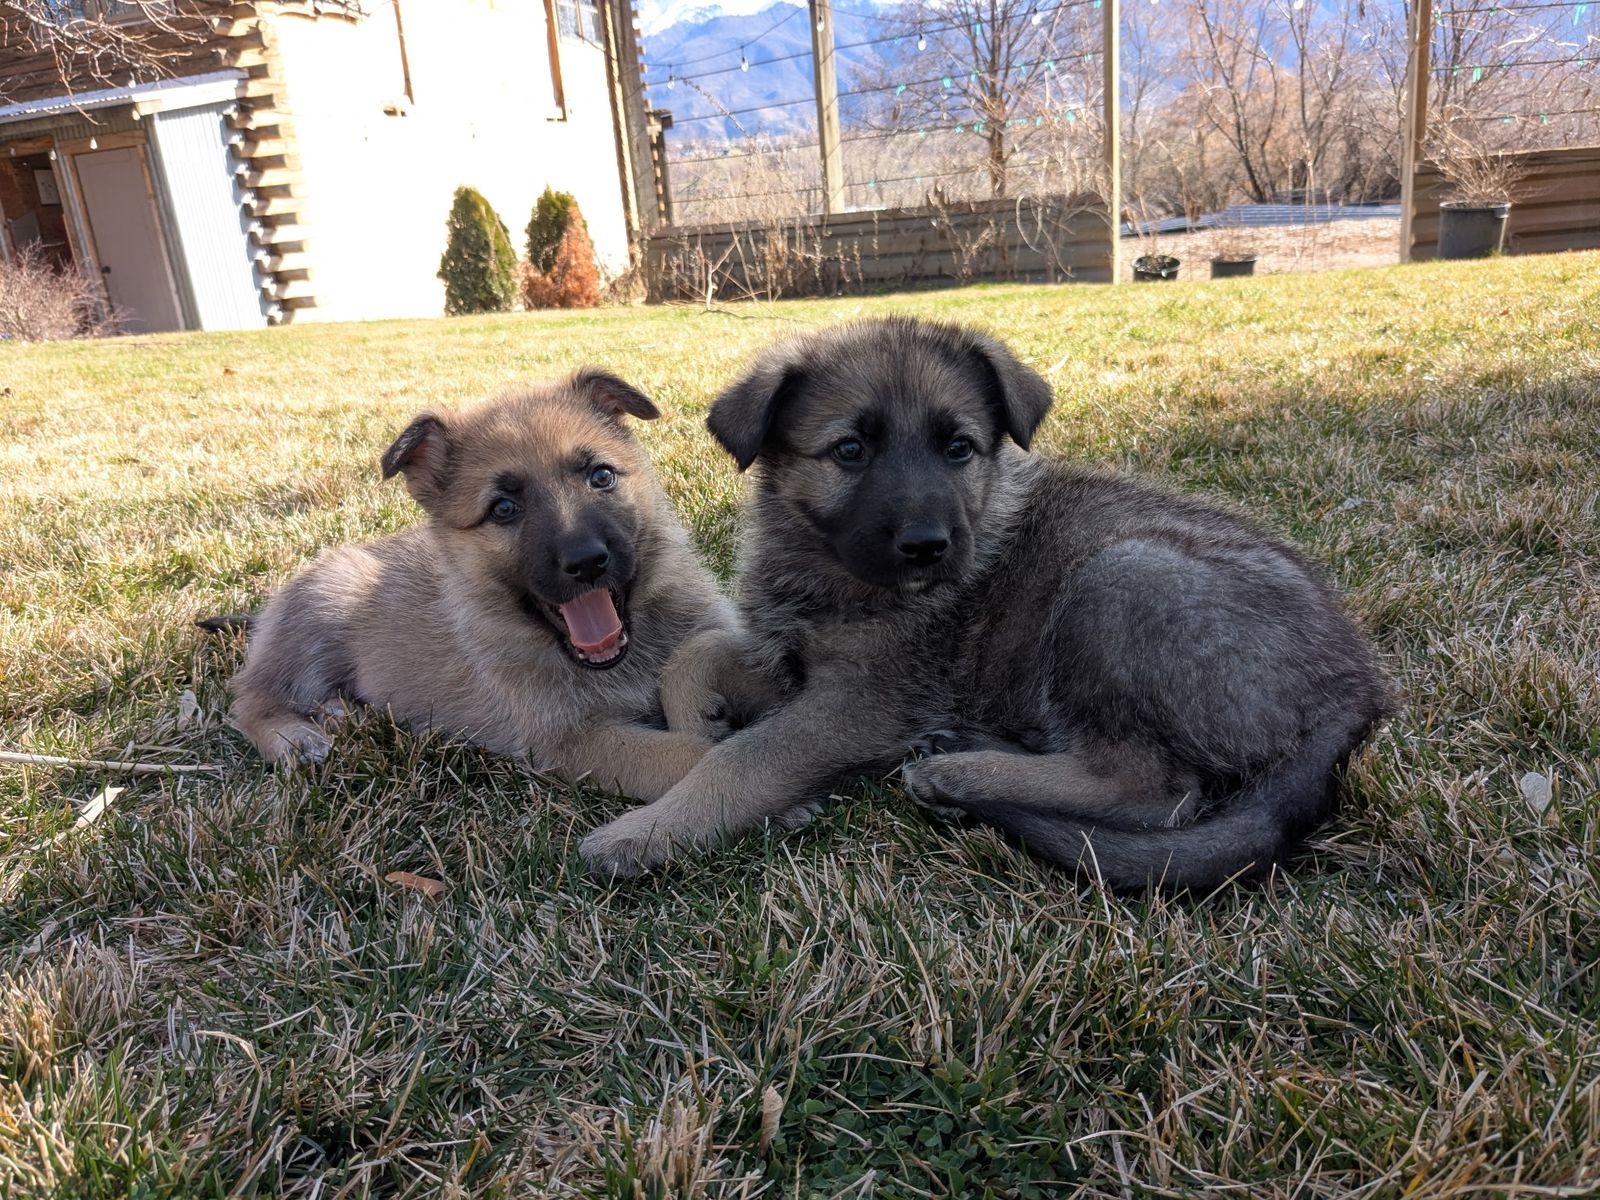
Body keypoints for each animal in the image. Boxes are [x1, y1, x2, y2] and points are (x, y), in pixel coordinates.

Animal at [217, 369, 735, 802]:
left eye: (601, 476)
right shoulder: (572, 743)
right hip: (323, 613)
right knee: (247, 698)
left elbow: (695, 654)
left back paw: (341, 712)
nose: (587, 562)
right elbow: (690, 757)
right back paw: (295, 738)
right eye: (503, 508)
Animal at [580, 317, 1392, 886]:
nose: (928, 546)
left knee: (1154, 788)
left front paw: (646, 830)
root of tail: (1352, 691)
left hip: (1120, 575)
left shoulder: (858, 703)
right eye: (850, 451)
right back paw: (962, 747)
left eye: (959, 448)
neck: (829, 570)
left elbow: (745, 758)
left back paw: (958, 775)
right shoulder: (792, 660)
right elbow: (697, 653)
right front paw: (699, 717)